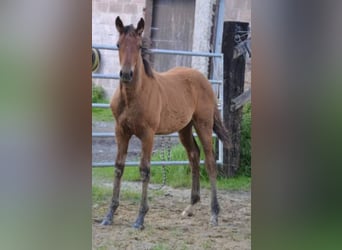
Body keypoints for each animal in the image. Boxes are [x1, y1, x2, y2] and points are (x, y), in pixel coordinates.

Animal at [101, 16, 230, 229]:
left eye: (138, 46)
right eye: (118, 44)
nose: (126, 74)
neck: (133, 96)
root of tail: (204, 80)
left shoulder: (148, 134)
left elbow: (144, 170)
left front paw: (140, 218)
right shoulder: (121, 131)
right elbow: (118, 167)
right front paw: (109, 215)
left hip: (203, 124)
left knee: (210, 162)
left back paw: (214, 214)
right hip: (184, 128)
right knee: (194, 155)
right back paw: (190, 206)